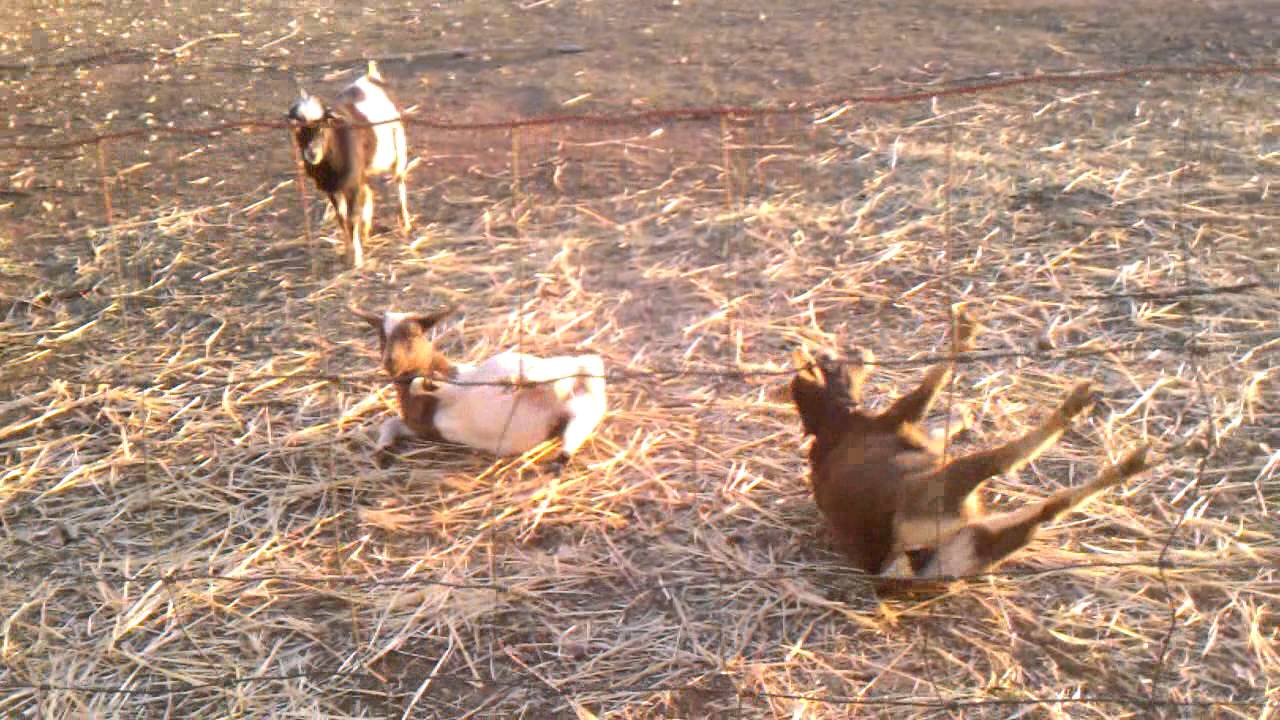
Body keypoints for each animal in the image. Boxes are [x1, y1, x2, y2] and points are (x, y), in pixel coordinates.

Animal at [287, 61, 411, 267]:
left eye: (324, 126)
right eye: (297, 129)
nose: (312, 153)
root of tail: (371, 76)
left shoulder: (351, 185)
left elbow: (352, 218)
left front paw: (357, 260)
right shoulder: (333, 188)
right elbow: (342, 219)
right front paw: (347, 253)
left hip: (398, 147)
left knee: (399, 182)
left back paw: (405, 223)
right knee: (369, 191)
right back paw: (367, 231)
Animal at [350, 306, 608, 466]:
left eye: (413, 335)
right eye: (382, 337)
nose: (390, 362)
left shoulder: (458, 382)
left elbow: (425, 385)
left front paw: (428, 383)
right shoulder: (424, 428)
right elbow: (391, 422)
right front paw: (382, 449)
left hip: (541, 366)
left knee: (569, 370)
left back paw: (519, 381)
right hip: (577, 410)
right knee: (577, 423)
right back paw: (562, 454)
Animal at [788, 305, 1152, 585]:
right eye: (829, 364)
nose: (858, 351)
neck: (832, 422)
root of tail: (906, 560)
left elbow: (939, 422)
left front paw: (963, 412)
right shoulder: (900, 416)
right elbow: (931, 384)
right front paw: (963, 333)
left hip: (979, 538)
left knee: (1049, 510)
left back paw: (1132, 461)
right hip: (951, 485)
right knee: (1005, 460)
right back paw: (1081, 413)